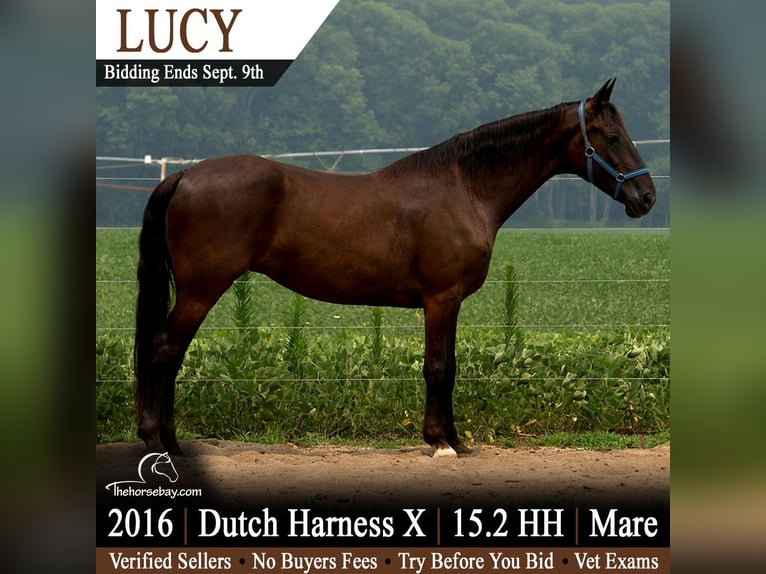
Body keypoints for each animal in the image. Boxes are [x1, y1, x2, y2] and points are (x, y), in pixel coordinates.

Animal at [134, 79, 655, 458]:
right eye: (612, 137)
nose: (646, 197)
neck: (463, 187)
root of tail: (185, 175)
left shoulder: (448, 302)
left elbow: (450, 367)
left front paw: (455, 440)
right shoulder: (441, 299)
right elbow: (438, 367)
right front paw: (440, 442)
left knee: (170, 355)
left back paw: (172, 441)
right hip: (202, 290)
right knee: (163, 351)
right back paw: (160, 441)